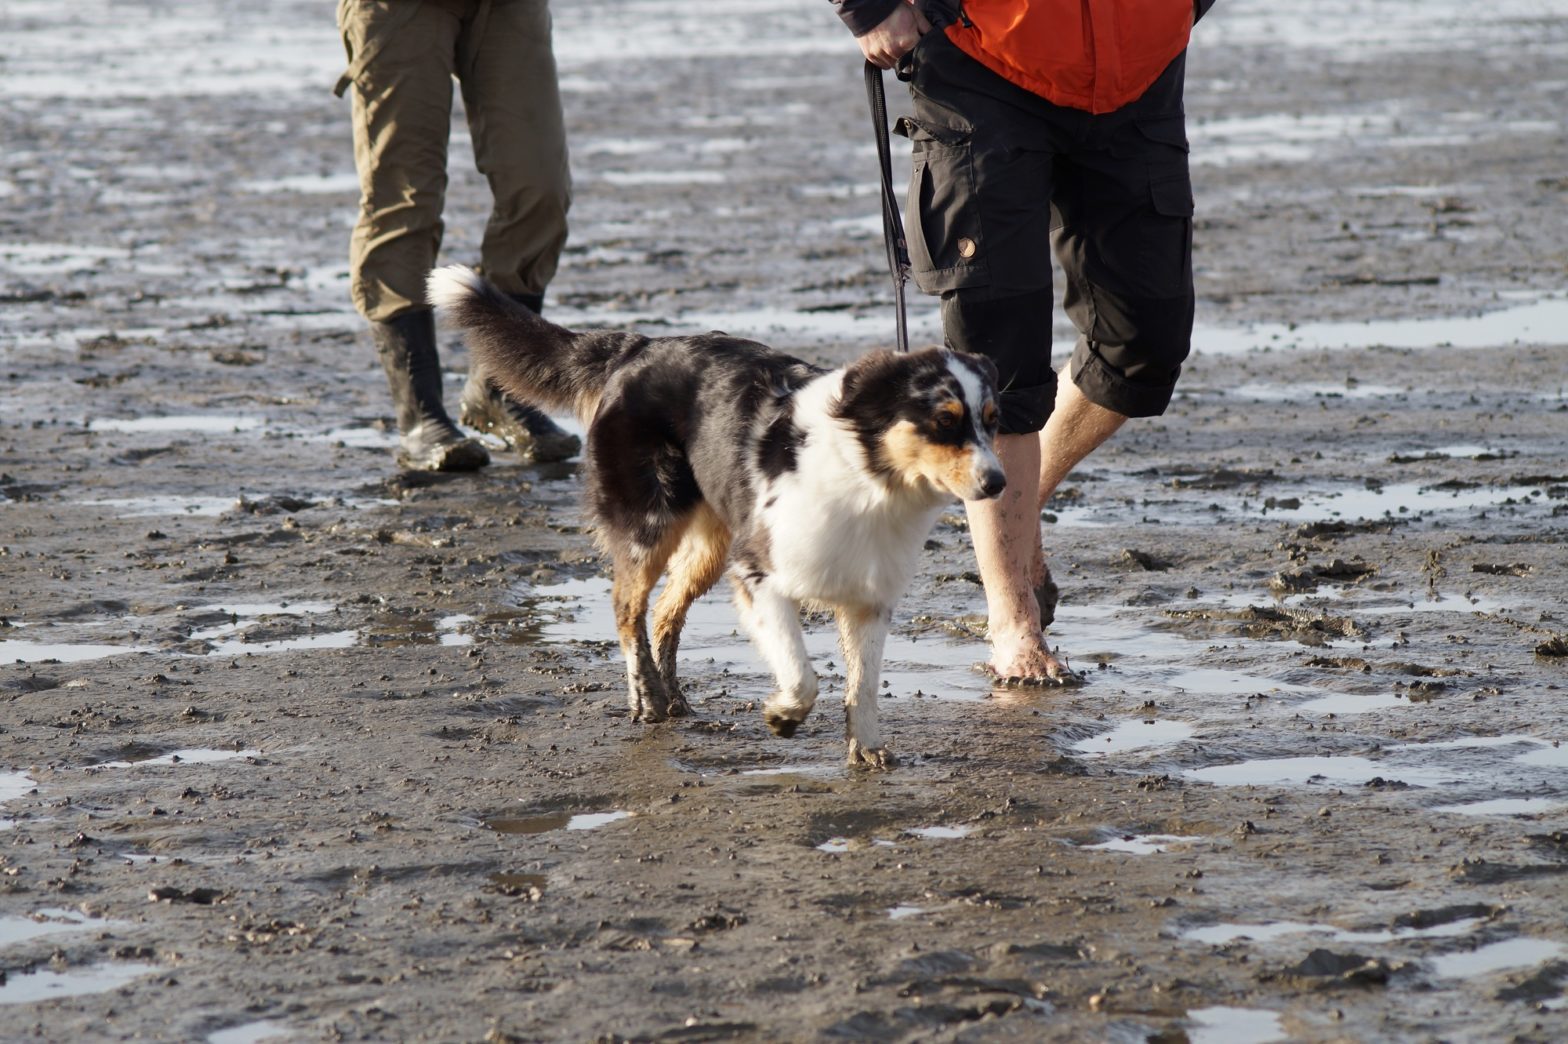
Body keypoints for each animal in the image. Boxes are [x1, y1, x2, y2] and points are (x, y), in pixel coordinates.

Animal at [426, 261, 1003, 764]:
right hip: (652, 526)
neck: (867, 478)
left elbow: (862, 685)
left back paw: (672, 697)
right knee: (627, 608)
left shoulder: (869, 596)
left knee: (664, 613)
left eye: (992, 420)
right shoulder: (757, 572)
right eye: (945, 420)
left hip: (708, 545)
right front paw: (784, 716)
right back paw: (647, 700)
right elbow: (802, 673)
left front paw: (866, 750)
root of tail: (636, 348)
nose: (997, 482)